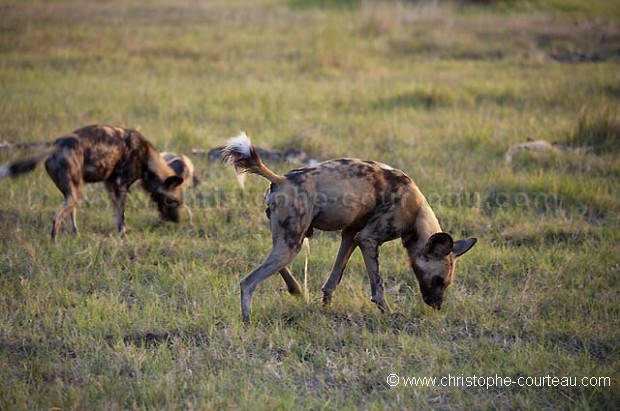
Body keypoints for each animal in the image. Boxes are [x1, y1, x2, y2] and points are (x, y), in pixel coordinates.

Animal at [0, 124, 184, 243]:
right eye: (173, 201)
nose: (177, 221)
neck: (148, 159)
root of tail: (56, 145)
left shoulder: (111, 187)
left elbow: (117, 217)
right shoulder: (121, 187)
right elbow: (122, 218)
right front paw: (123, 238)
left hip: (72, 194)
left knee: (70, 215)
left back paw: (76, 236)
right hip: (74, 194)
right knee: (57, 218)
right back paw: (54, 245)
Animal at [224, 134, 480, 324]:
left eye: (446, 283)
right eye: (438, 280)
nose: (437, 306)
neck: (416, 211)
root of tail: (282, 179)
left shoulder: (350, 236)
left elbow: (333, 279)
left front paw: (325, 306)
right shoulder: (368, 239)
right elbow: (378, 286)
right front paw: (390, 314)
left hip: (290, 241)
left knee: (278, 266)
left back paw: (296, 290)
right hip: (292, 245)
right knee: (248, 282)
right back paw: (247, 322)